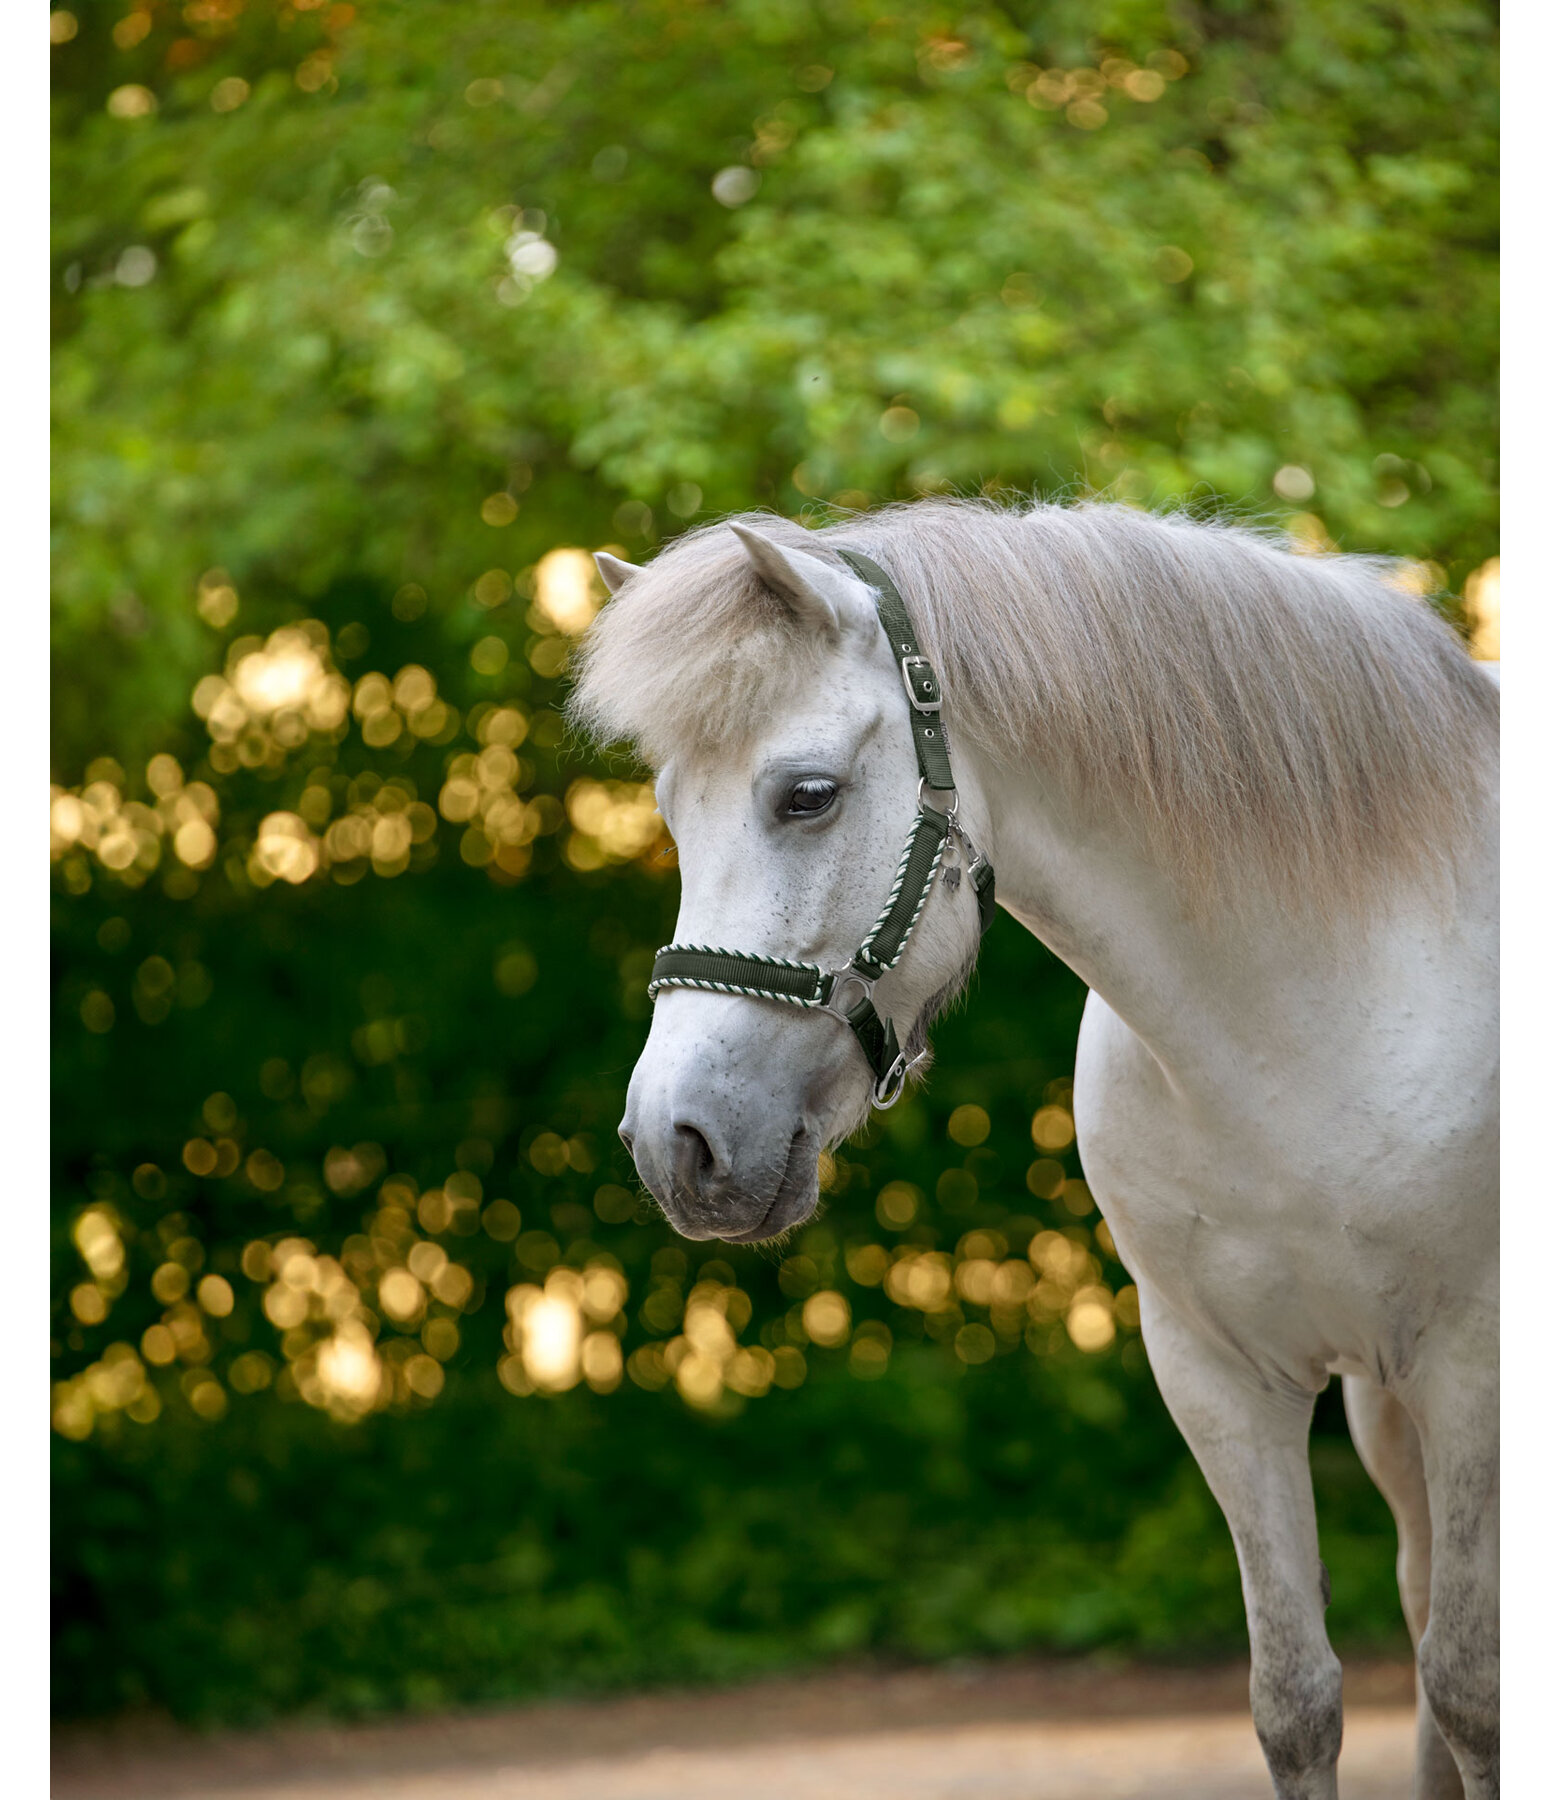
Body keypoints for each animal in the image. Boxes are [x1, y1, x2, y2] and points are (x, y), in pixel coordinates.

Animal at [572, 500, 1497, 1800]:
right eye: (664, 807)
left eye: (805, 796)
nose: (677, 1144)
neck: (1317, 1009)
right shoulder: (1218, 1377)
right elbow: (1296, 1699)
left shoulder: (1470, 1365)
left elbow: (1470, 1691)